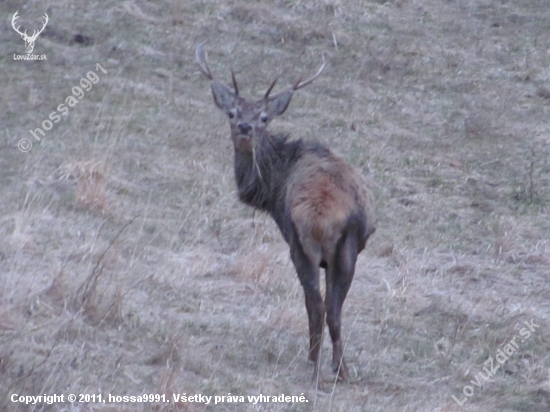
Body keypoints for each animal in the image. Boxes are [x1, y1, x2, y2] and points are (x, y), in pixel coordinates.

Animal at [196, 45, 378, 384]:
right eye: (232, 113)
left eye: (264, 117)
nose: (245, 128)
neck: (271, 189)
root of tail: (321, 218)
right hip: (345, 250)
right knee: (333, 310)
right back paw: (341, 369)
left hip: (300, 245)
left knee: (317, 304)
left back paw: (314, 363)